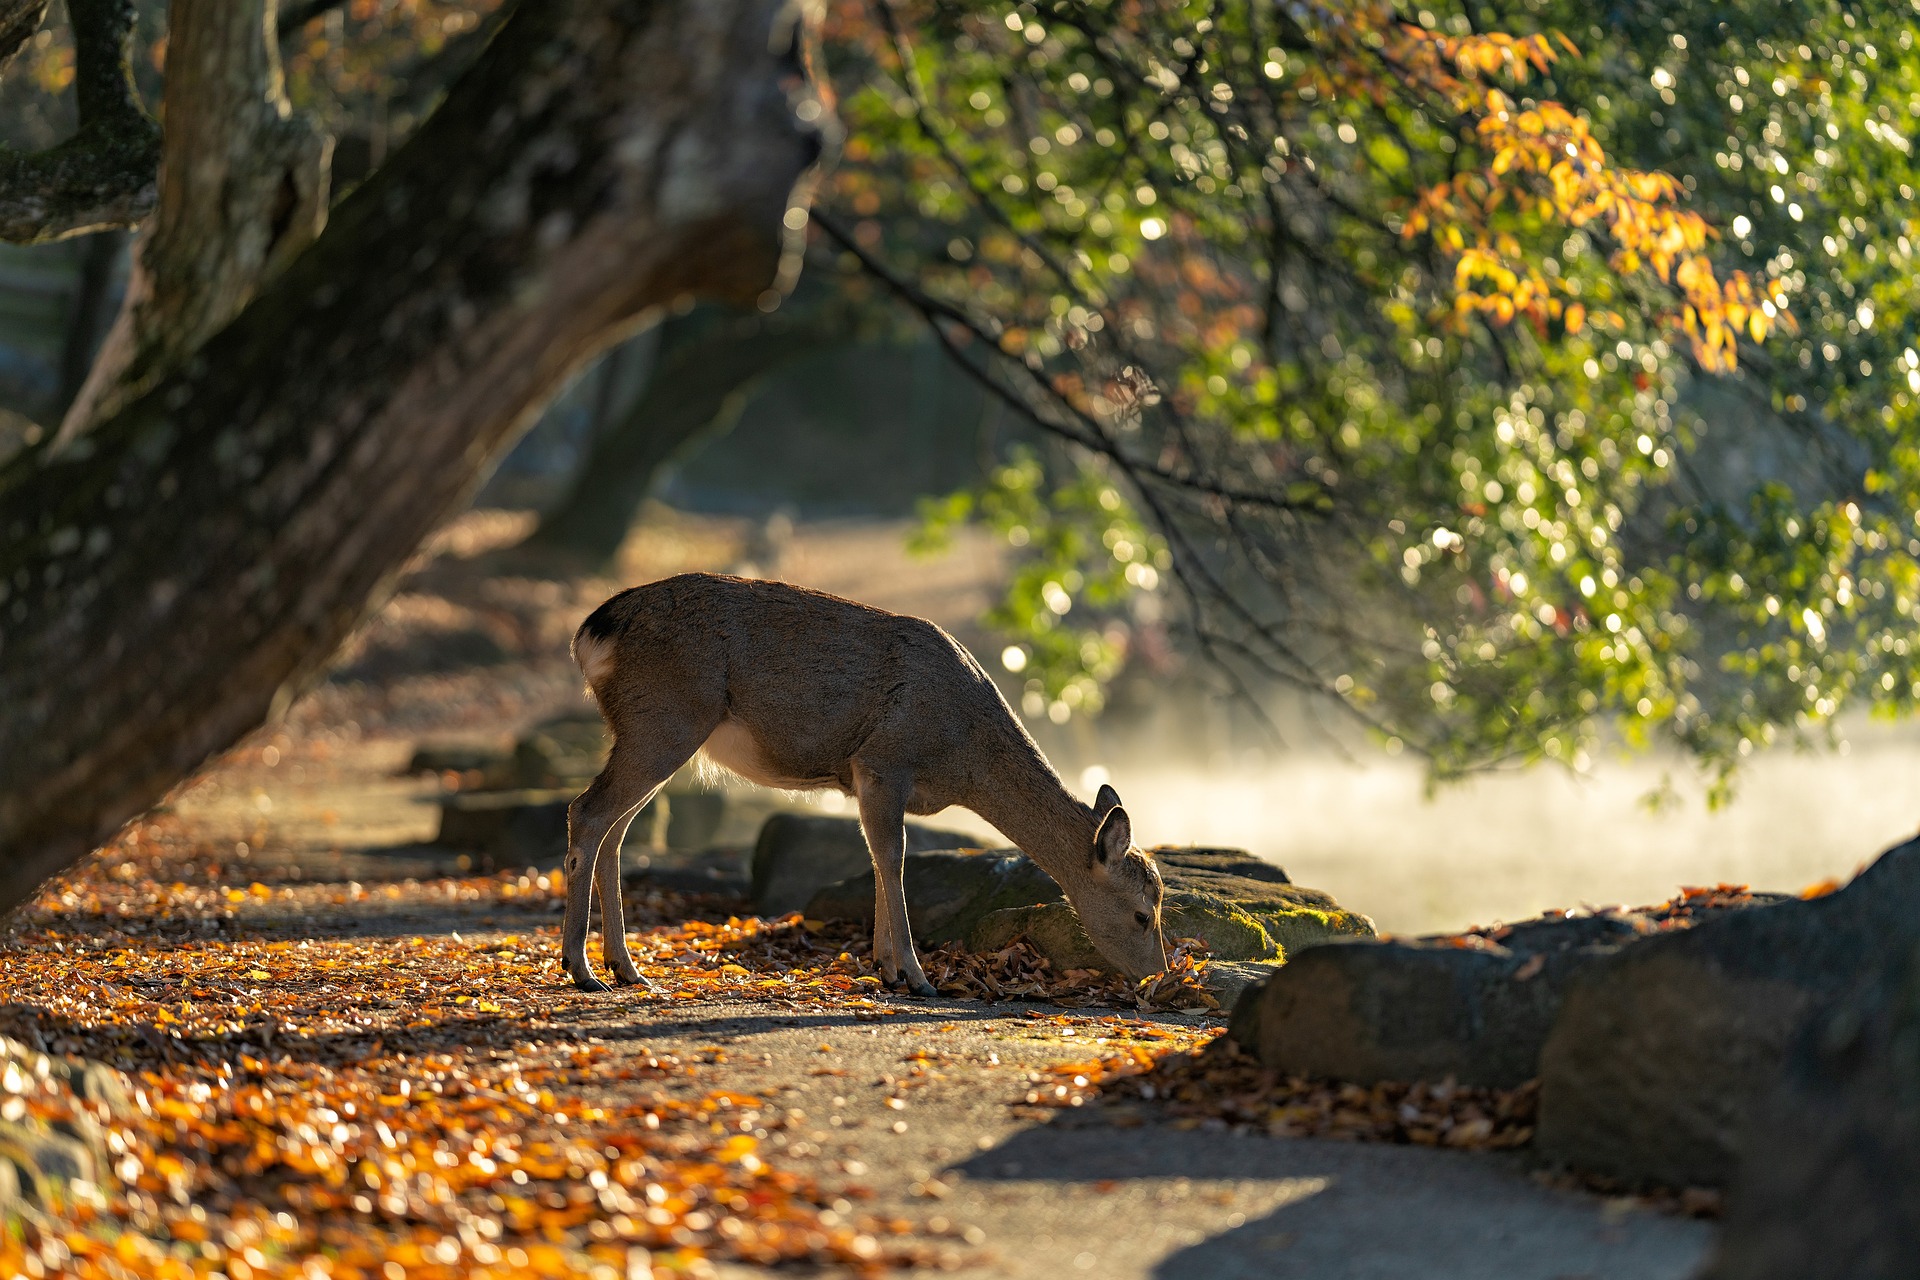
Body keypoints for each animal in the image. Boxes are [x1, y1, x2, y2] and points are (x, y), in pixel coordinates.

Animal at [560, 571, 1167, 997]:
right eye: (1143, 913)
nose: (1158, 974)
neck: (961, 757)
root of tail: (592, 632)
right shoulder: (883, 760)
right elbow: (893, 858)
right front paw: (918, 978)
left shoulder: (860, 779)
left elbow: (876, 857)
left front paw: (886, 968)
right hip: (666, 719)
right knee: (586, 812)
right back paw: (582, 968)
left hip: (649, 731)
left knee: (615, 828)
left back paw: (626, 968)